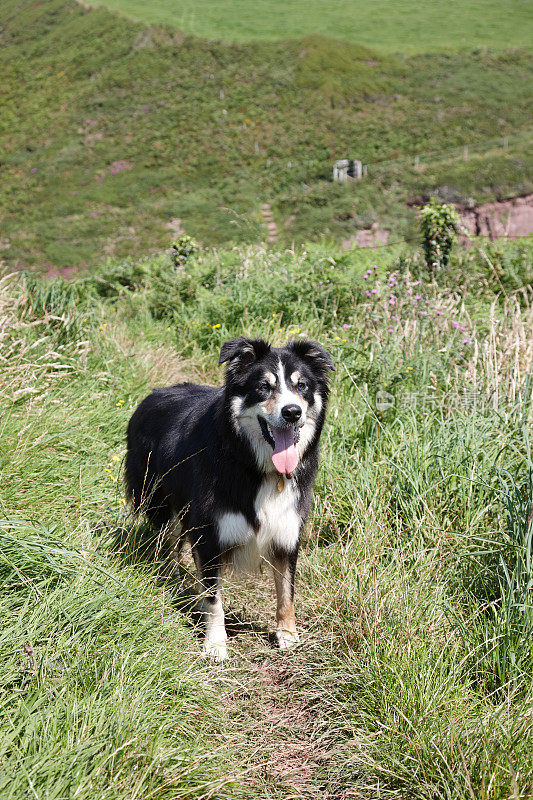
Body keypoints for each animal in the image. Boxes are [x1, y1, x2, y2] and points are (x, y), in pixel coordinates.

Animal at [125, 338, 332, 664]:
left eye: (302, 386)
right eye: (263, 387)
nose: (292, 412)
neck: (255, 464)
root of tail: (152, 395)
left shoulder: (287, 532)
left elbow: (286, 591)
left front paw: (287, 635)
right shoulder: (210, 532)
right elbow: (215, 596)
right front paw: (215, 644)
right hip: (162, 503)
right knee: (167, 547)